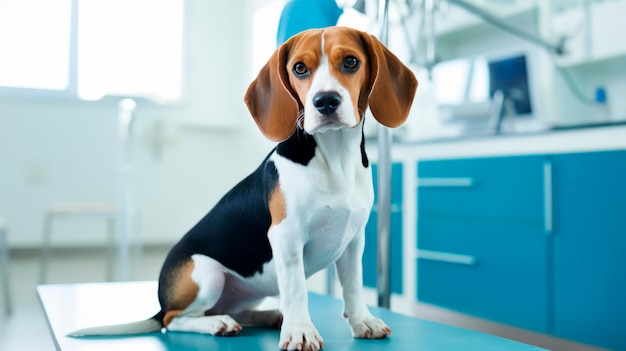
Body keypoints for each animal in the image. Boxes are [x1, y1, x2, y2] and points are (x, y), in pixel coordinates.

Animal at [70, 26, 414, 351]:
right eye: (300, 68)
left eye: (351, 62)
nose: (325, 101)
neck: (334, 158)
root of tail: (163, 300)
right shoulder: (286, 237)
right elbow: (297, 290)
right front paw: (301, 332)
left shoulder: (354, 240)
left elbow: (353, 287)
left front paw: (362, 321)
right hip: (206, 275)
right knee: (175, 320)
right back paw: (217, 323)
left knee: (234, 312)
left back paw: (269, 316)